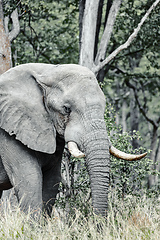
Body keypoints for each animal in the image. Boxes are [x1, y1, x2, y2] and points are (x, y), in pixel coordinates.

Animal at [0, 63, 146, 218]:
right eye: (66, 109)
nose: (97, 221)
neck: (46, 71)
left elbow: (52, 181)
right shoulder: (9, 133)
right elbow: (30, 180)